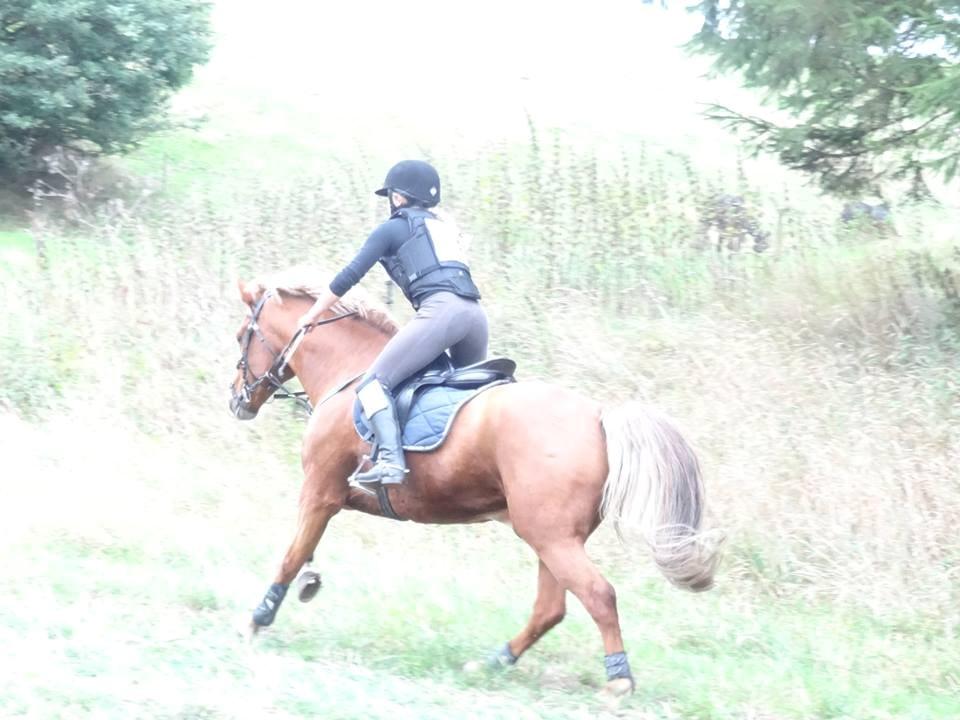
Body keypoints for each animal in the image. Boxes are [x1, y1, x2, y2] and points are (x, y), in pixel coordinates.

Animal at [227, 268, 720, 696]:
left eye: (240, 336)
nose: (236, 400)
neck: (347, 372)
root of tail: (600, 417)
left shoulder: (319, 489)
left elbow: (290, 554)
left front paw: (257, 619)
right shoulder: (345, 495)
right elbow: (306, 545)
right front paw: (307, 581)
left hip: (550, 536)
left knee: (599, 595)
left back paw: (618, 680)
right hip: (552, 536)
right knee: (551, 608)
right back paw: (495, 662)